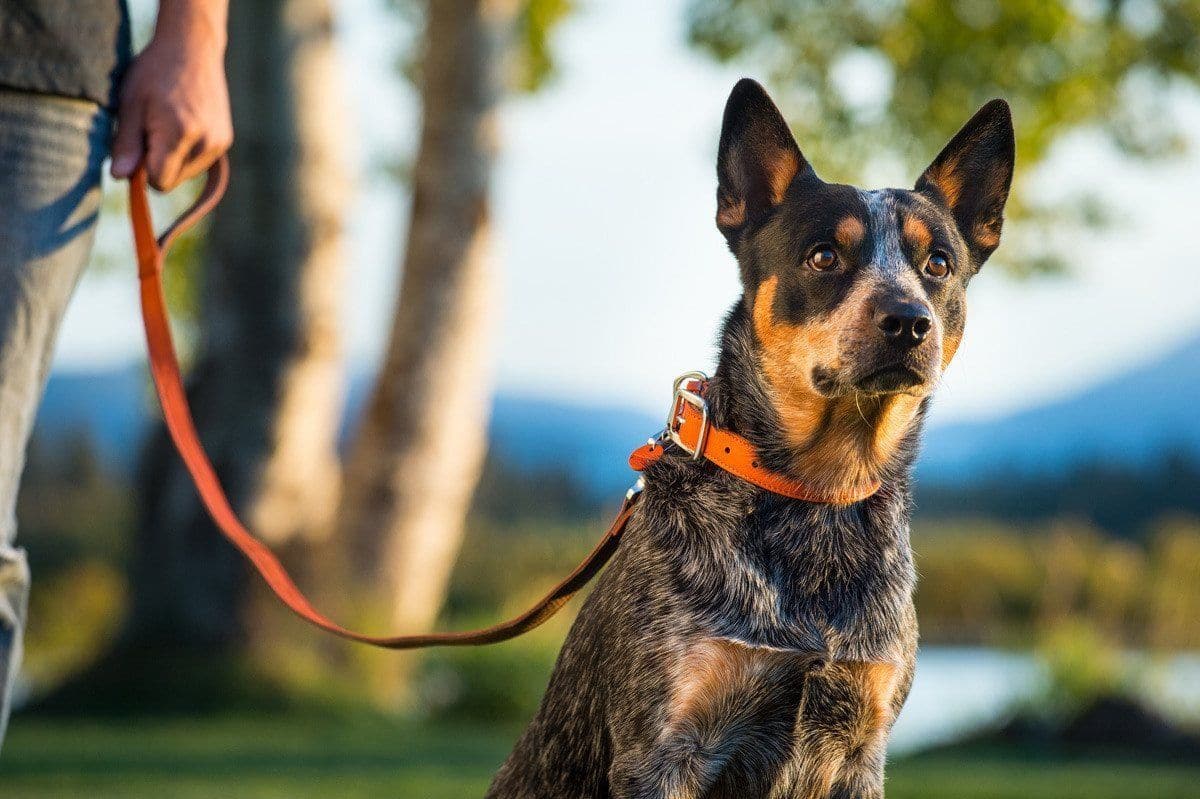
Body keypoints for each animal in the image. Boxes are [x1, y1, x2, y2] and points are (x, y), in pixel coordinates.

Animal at [484, 76, 1012, 796]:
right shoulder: (664, 750)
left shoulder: (862, 746)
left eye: (937, 263)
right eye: (824, 255)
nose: (908, 320)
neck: (817, 497)